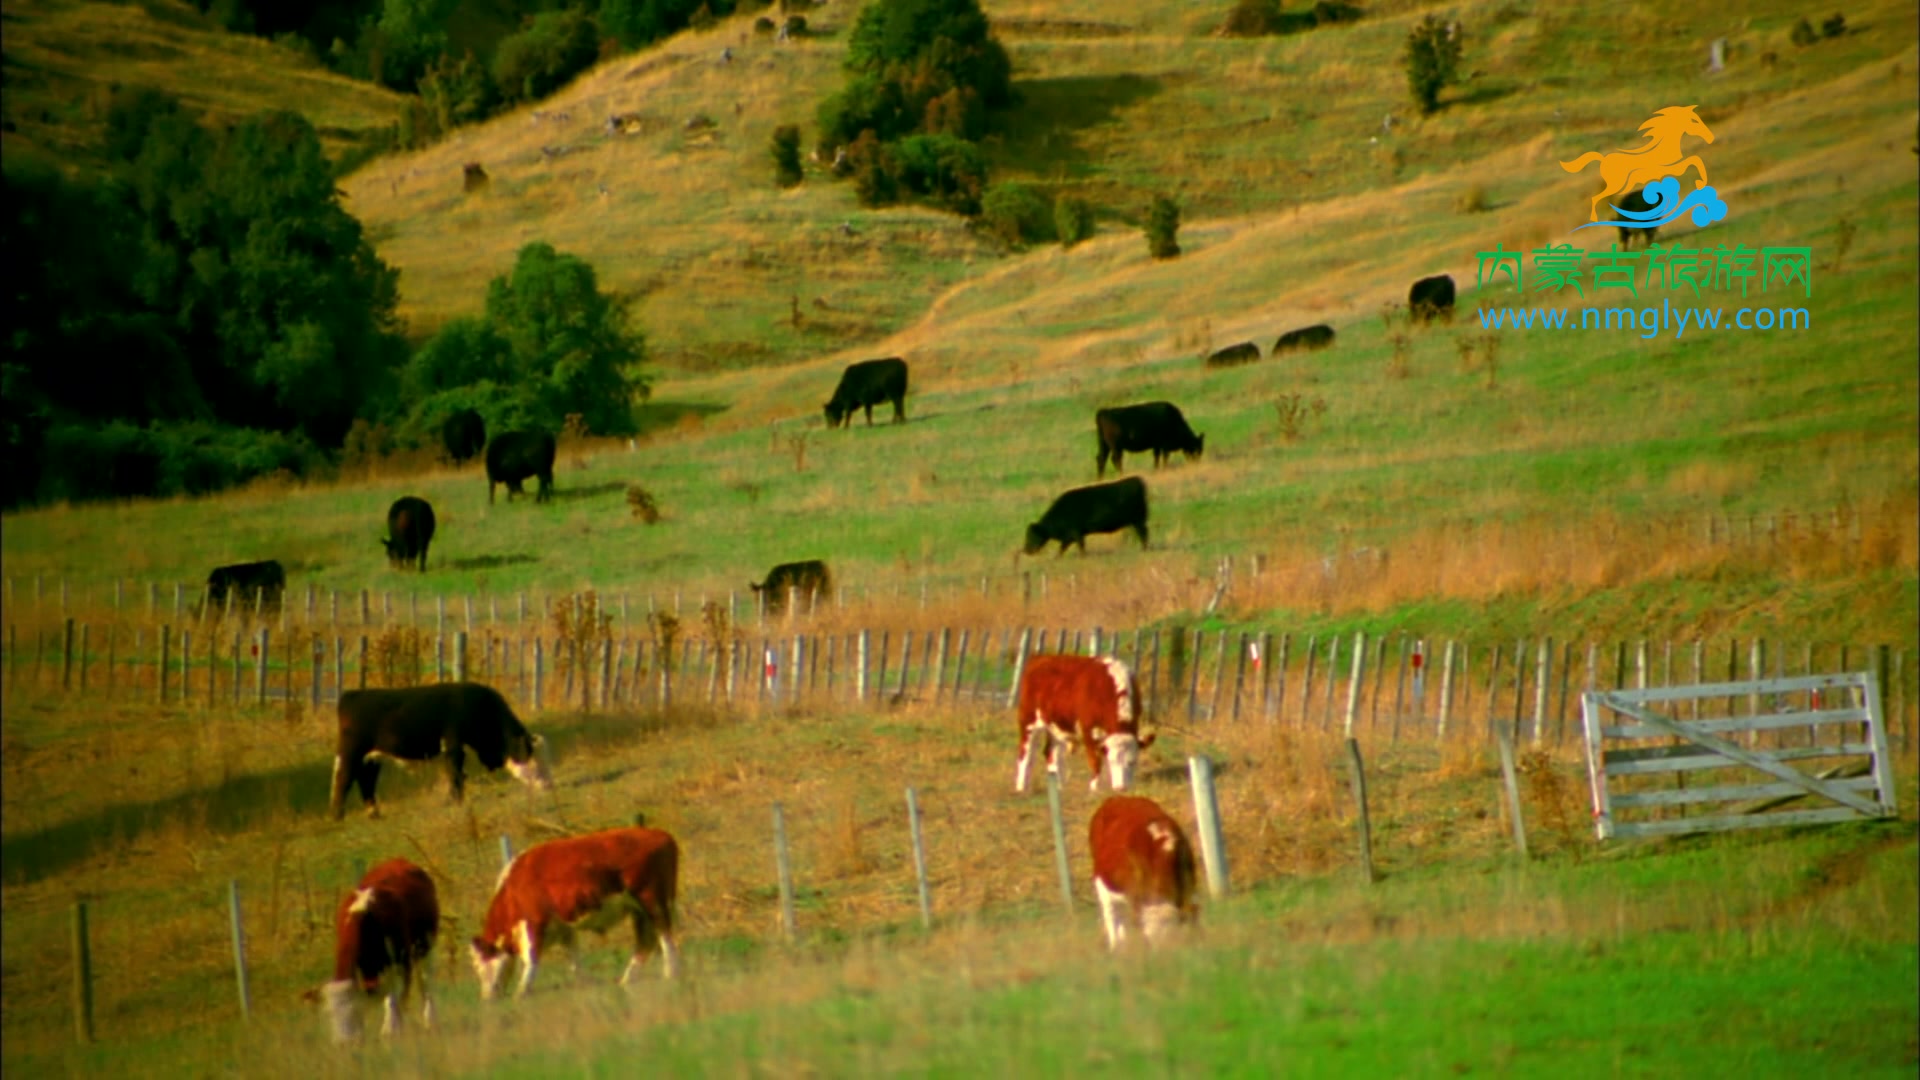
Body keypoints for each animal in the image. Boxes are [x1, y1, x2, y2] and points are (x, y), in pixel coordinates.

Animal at [322, 853, 441, 1037]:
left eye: (351, 1010)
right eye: (331, 1015)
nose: (344, 1042)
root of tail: (398, 860)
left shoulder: (400, 957)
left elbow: (395, 995)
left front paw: (392, 1029)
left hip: (423, 944)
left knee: (425, 980)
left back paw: (429, 1020)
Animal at [330, 680, 552, 814]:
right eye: (534, 761)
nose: (548, 786)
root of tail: (352, 694)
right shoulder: (453, 745)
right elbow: (455, 774)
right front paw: (455, 801)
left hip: (372, 757)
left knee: (366, 780)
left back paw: (373, 812)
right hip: (351, 752)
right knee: (344, 779)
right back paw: (338, 816)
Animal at [472, 822, 683, 991]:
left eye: (479, 965)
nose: (487, 997)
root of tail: (660, 834)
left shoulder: (534, 921)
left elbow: (531, 958)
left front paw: (522, 992)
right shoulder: (563, 928)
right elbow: (573, 955)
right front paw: (584, 983)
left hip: (652, 900)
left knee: (664, 934)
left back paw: (670, 973)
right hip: (638, 909)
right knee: (645, 941)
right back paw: (627, 980)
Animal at [1021, 645, 1152, 791]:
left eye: (1132, 761)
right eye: (1111, 760)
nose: (1121, 788)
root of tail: (1040, 657)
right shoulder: (1087, 729)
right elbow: (1095, 759)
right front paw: (1094, 788)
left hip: (1057, 726)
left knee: (1051, 753)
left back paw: (1059, 787)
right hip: (1028, 720)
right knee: (1026, 754)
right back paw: (1021, 788)